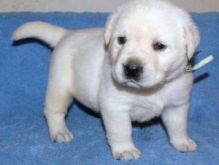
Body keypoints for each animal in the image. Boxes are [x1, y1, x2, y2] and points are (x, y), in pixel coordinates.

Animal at [12, 0, 199, 160]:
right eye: (121, 40)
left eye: (159, 46)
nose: (131, 68)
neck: (151, 90)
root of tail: (67, 34)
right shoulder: (116, 107)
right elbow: (121, 130)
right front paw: (125, 150)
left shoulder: (177, 105)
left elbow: (178, 126)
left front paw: (182, 142)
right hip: (59, 87)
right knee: (53, 111)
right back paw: (59, 132)